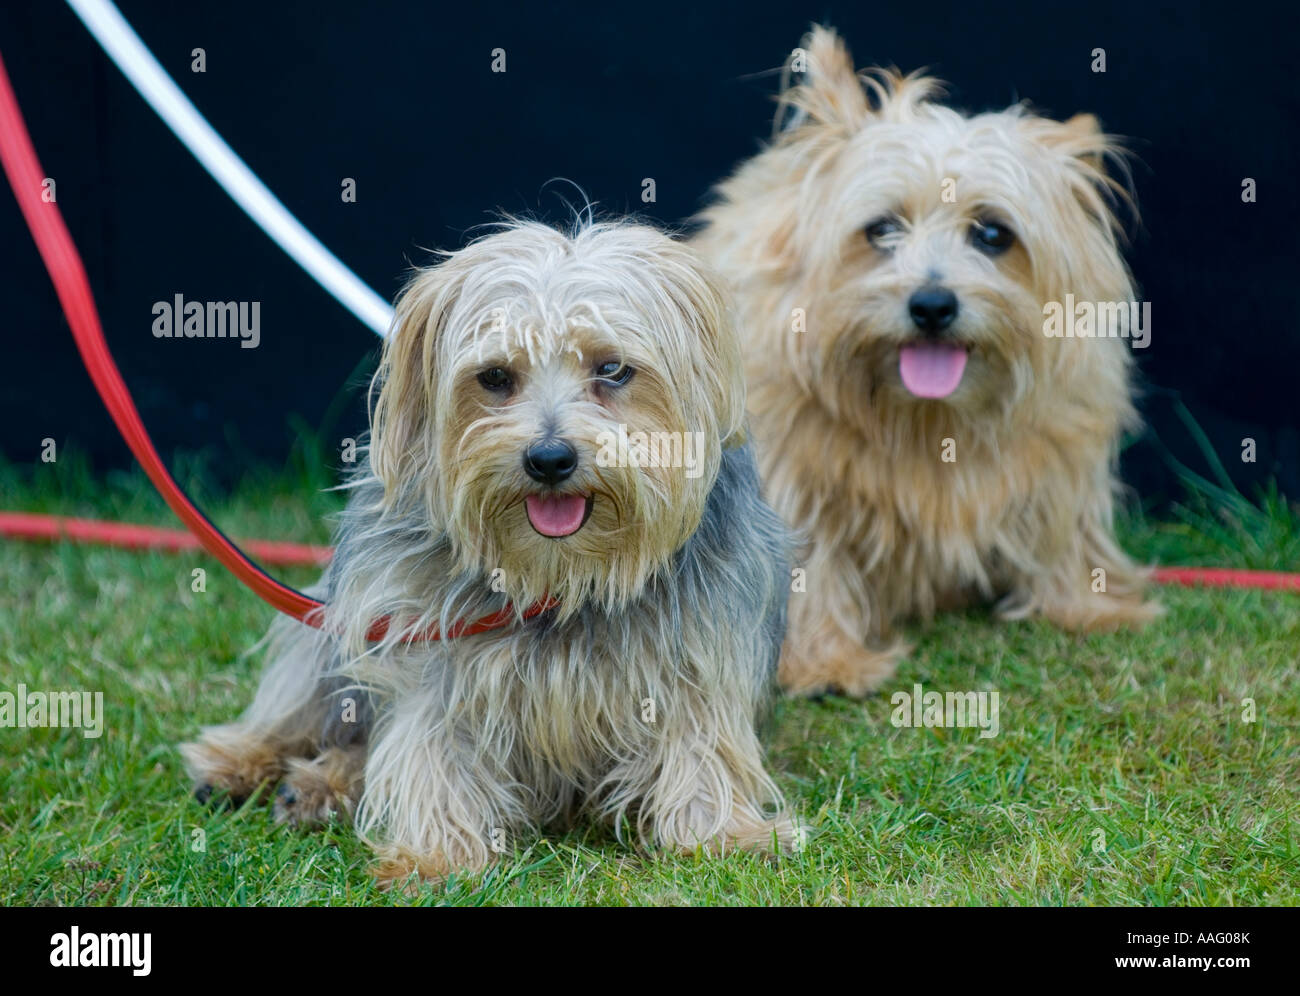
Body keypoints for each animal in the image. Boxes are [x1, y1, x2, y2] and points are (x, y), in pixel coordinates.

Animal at [180, 221, 790, 889]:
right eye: (496, 377)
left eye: (612, 369)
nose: (549, 459)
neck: (562, 578)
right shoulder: (422, 638)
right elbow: (430, 744)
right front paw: (436, 855)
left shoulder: (698, 649)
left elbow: (700, 738)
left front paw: (721, 834)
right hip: (329, 623)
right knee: (310, 708)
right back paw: (253, 763)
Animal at [696, 21, 1164, 696]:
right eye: (881, 229)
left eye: (993, 234)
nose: (933, 304)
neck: (923, 419)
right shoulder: (792, 477)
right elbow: (810, 562)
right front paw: (827, 662)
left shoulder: (1058, 452)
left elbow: (1063, 526)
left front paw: (1087, 605)